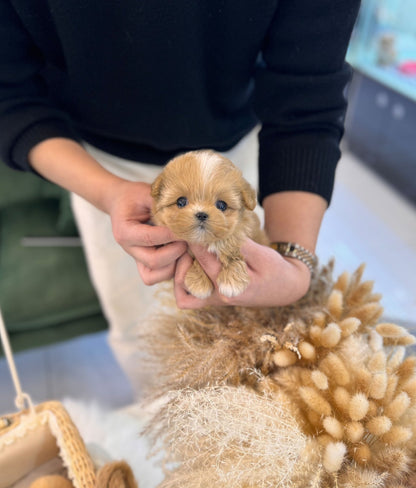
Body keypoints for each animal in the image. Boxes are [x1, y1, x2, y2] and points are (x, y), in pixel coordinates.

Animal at [151, 151, 268, 300]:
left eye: (222, 205)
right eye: (181, 202)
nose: (201, 214)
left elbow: (232, 248)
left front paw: (232, 280)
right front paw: (198, 283)